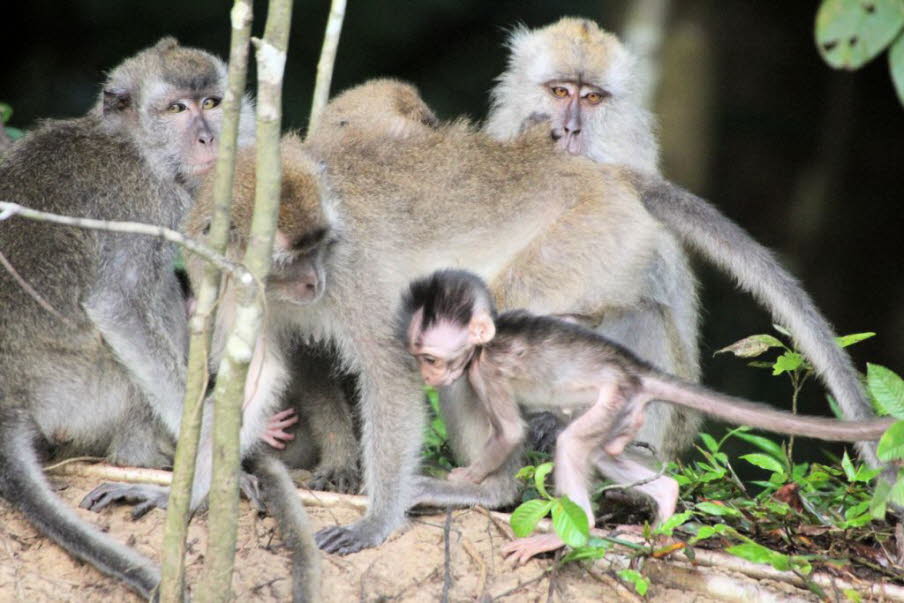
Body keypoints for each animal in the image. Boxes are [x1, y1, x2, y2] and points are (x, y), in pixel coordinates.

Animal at [404, 272, 896, 564]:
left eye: (430, 358)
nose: (426, 374)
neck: (483, 347)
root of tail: (634, 371)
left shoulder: (485, 374)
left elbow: (509, 433)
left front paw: (467, 476)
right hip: (625, 410)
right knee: (602, 452)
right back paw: (665, 502)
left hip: (612, 397)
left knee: (573, 445)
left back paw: (570, 533)